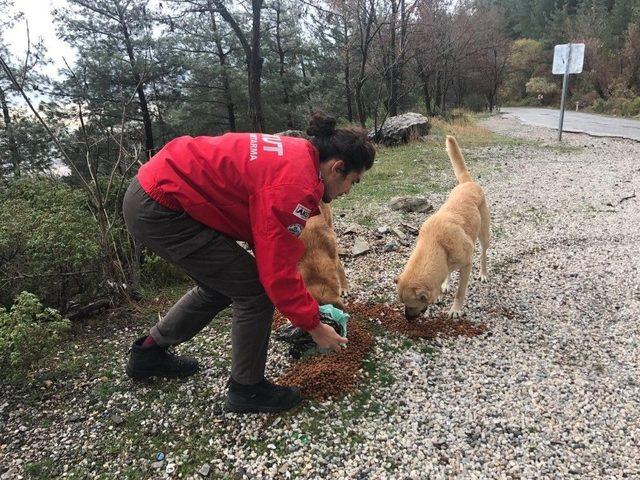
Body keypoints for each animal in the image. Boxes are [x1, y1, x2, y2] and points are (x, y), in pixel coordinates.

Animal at [396, 136, 490, 318]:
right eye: (403, 304)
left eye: (411, 305)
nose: (407, 319)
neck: (437, 244)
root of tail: (468, 183)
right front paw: (441, 289)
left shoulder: (467, 265)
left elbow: (460, 292)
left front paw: (455, 309)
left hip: (484, 235)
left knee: (483, 254)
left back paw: (483, 273)